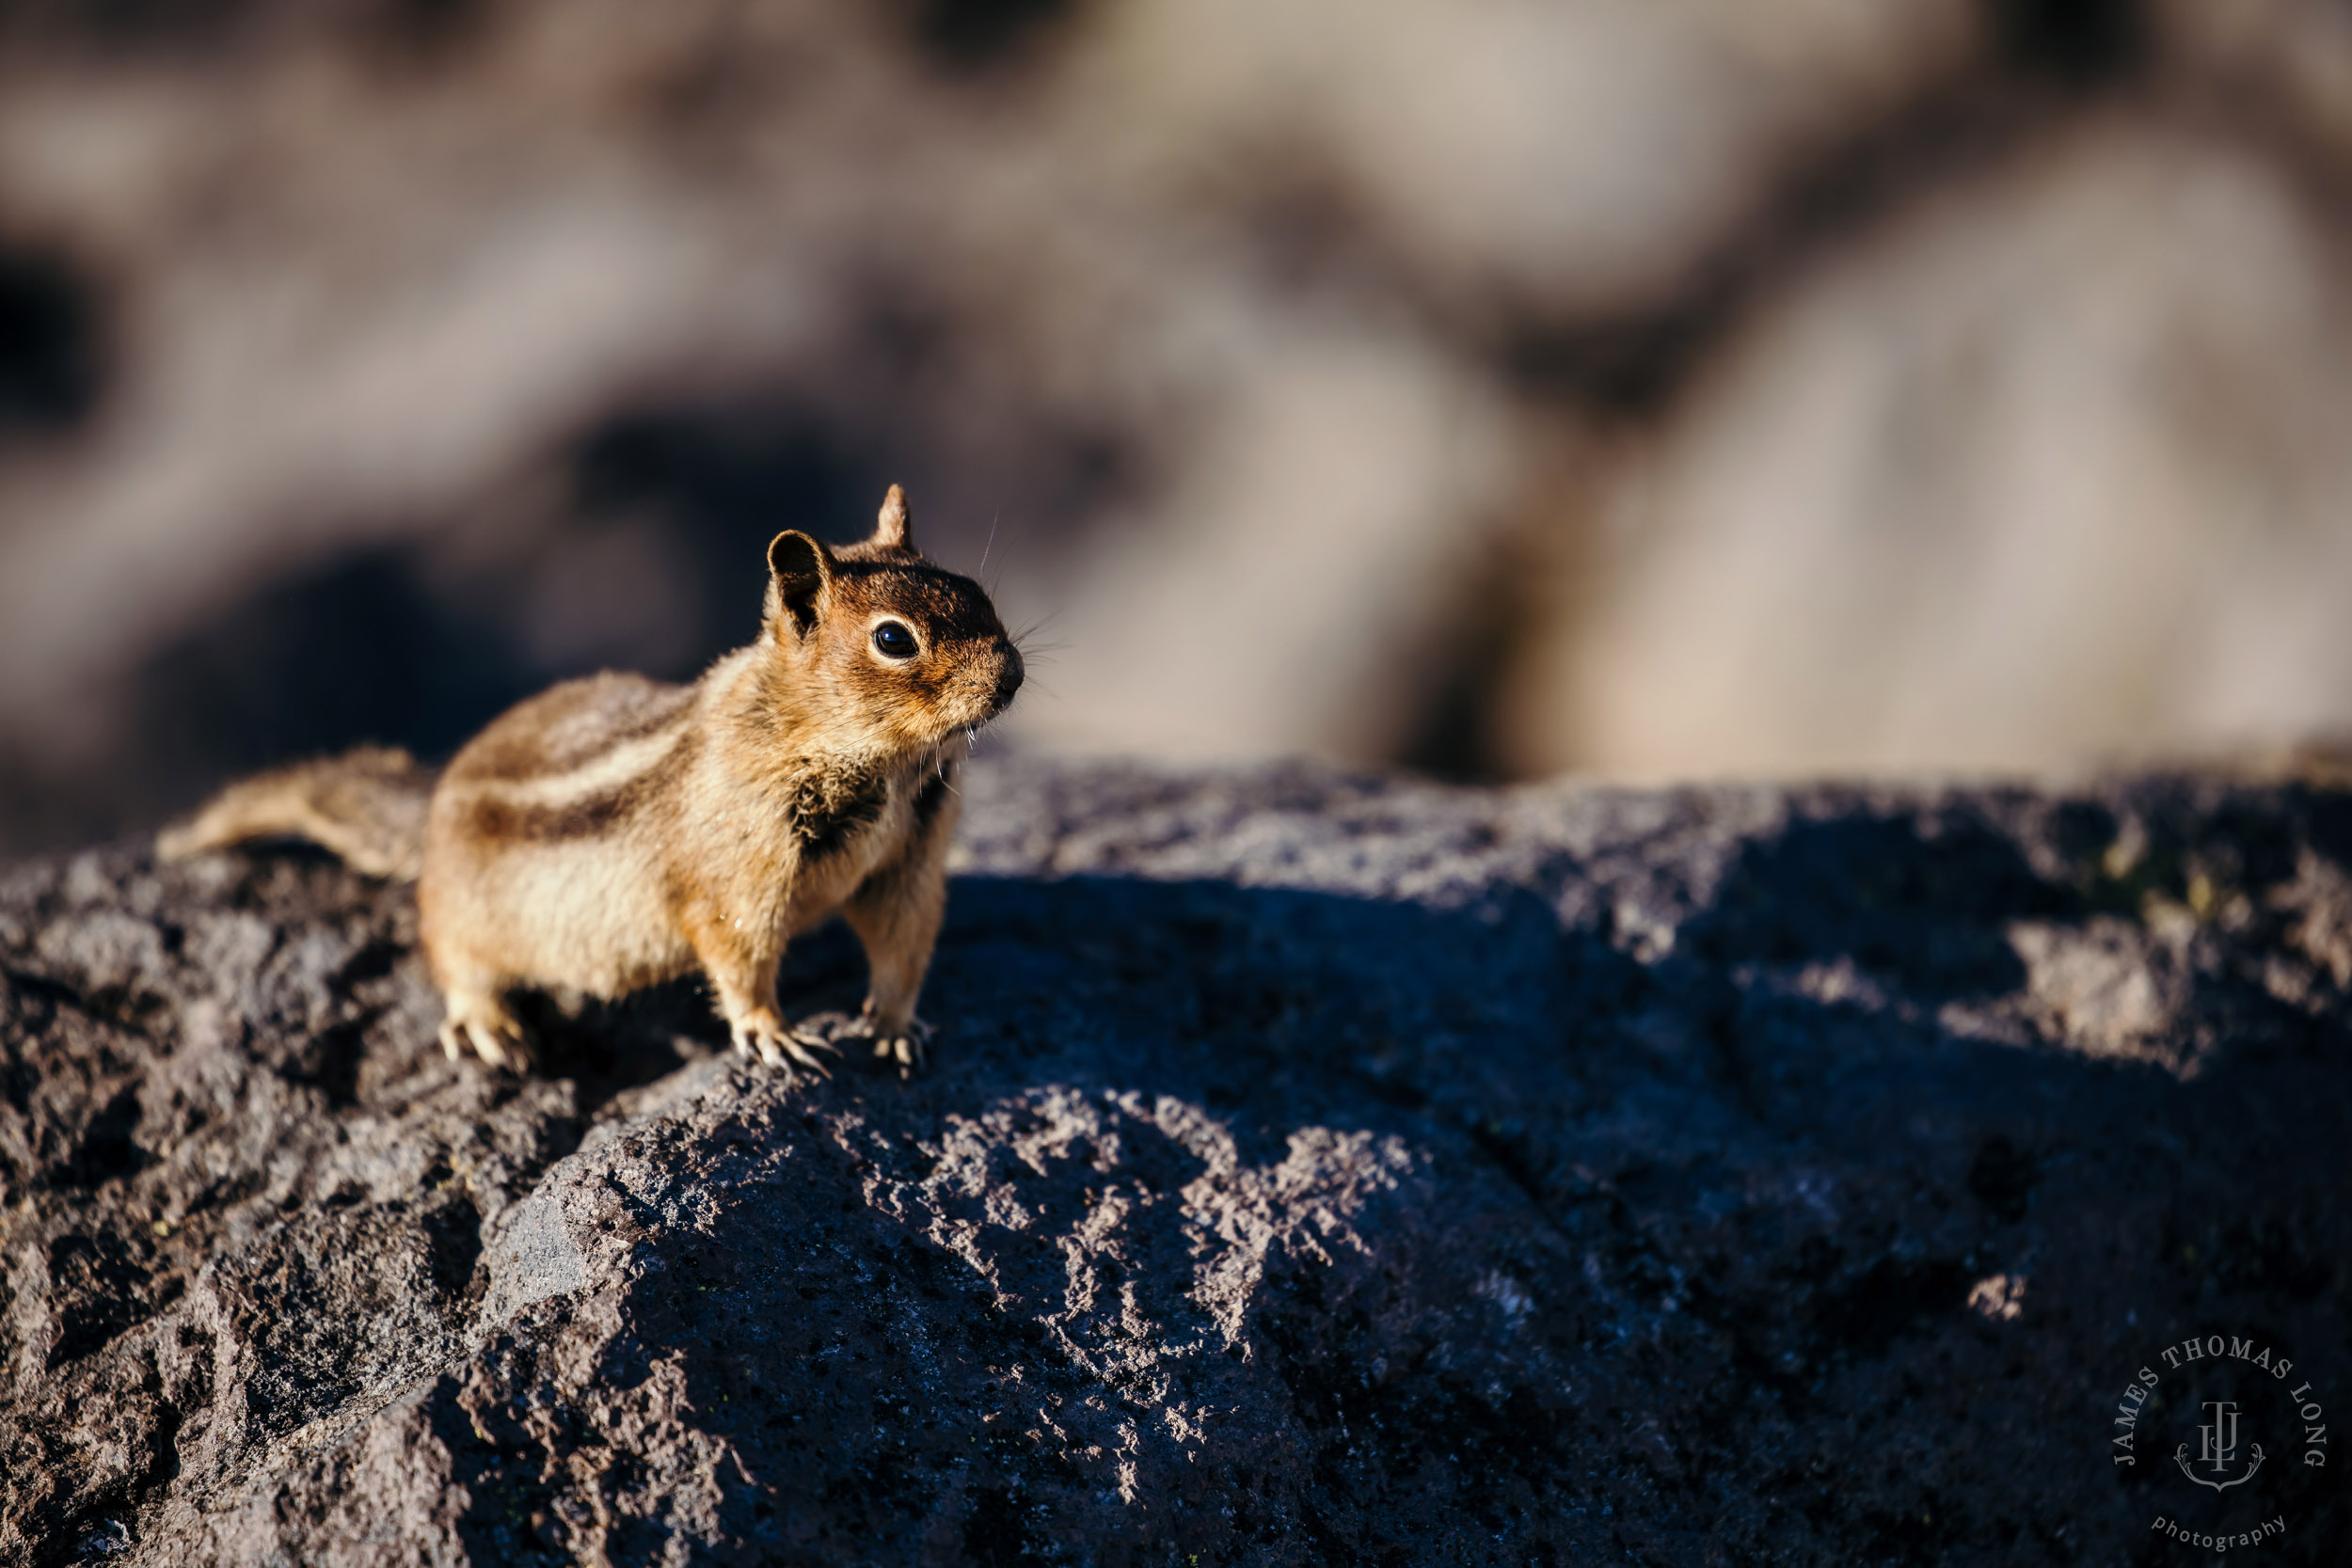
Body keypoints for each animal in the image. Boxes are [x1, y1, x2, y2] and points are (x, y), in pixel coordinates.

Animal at [153, 491, 1021, 1081]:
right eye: (893, 640)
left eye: (980, 595)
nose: (1011, 674)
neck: (885, 767)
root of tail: (433, 803)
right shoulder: (738, 876)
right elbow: (739, 955)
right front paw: (772, 1031)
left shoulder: (909, 862)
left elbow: (904, 941)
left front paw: (898, 1026)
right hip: (462, 913)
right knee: (450, 955)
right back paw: (486, 1023)